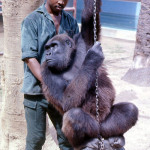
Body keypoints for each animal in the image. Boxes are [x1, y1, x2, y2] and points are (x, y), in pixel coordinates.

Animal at [41, 0, 138, 148]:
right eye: (47, 48)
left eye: (54, 46)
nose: (48, 53)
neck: (69, 61)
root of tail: (100, 134)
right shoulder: (46, 71)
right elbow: (64, 101)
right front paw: (93, 58)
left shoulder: (82, 42)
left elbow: (89, 16)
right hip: (93, 129)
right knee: (74, 115)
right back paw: (84, 142)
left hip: (105, 126)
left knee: (129, 110)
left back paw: (117, 136)